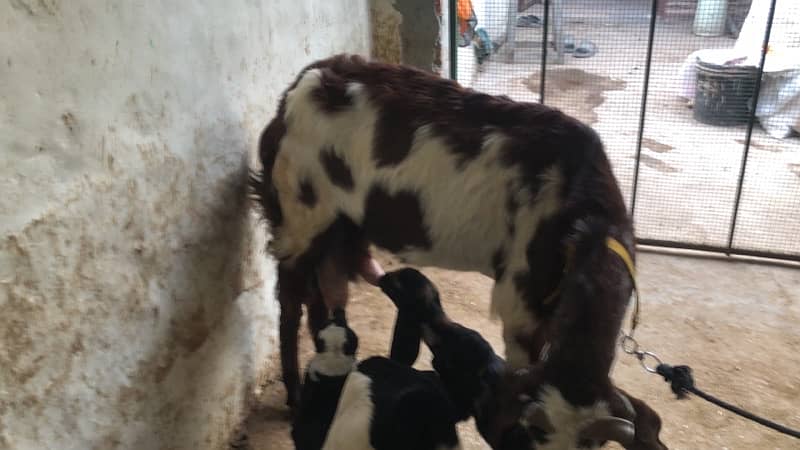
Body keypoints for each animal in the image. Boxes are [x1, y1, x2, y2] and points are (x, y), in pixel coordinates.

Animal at [253, 54, 664, 448]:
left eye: (596, 445)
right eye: (533, 434)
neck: (582, 216)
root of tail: (299, 86)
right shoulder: (520, 301)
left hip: (340, 225)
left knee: (319, 293)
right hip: (300, 209)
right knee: (290, 303)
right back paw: (294, 395)